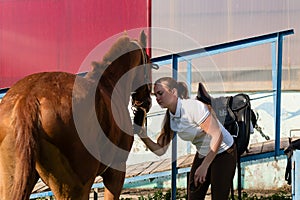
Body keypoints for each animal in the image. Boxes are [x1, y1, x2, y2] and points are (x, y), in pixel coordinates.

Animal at [0, 31, 152, 200]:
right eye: (149, 61)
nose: (146, 103)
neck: (109, 84)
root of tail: (29, 99)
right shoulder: (116, 170)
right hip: (75, 186)